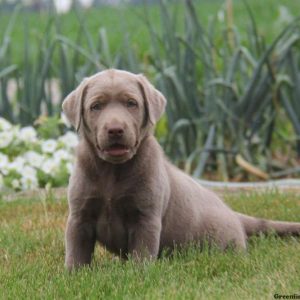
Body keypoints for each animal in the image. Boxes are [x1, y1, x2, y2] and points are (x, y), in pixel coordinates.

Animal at [62, 69, 298, 270]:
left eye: (131, 103)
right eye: (96, 106)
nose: (115, 129)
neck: (112, 171)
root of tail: (234, 214)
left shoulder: (146, 217)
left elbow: (142, 251)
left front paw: (138, 273)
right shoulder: (80, 216)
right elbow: (77, 249)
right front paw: (74, 274)